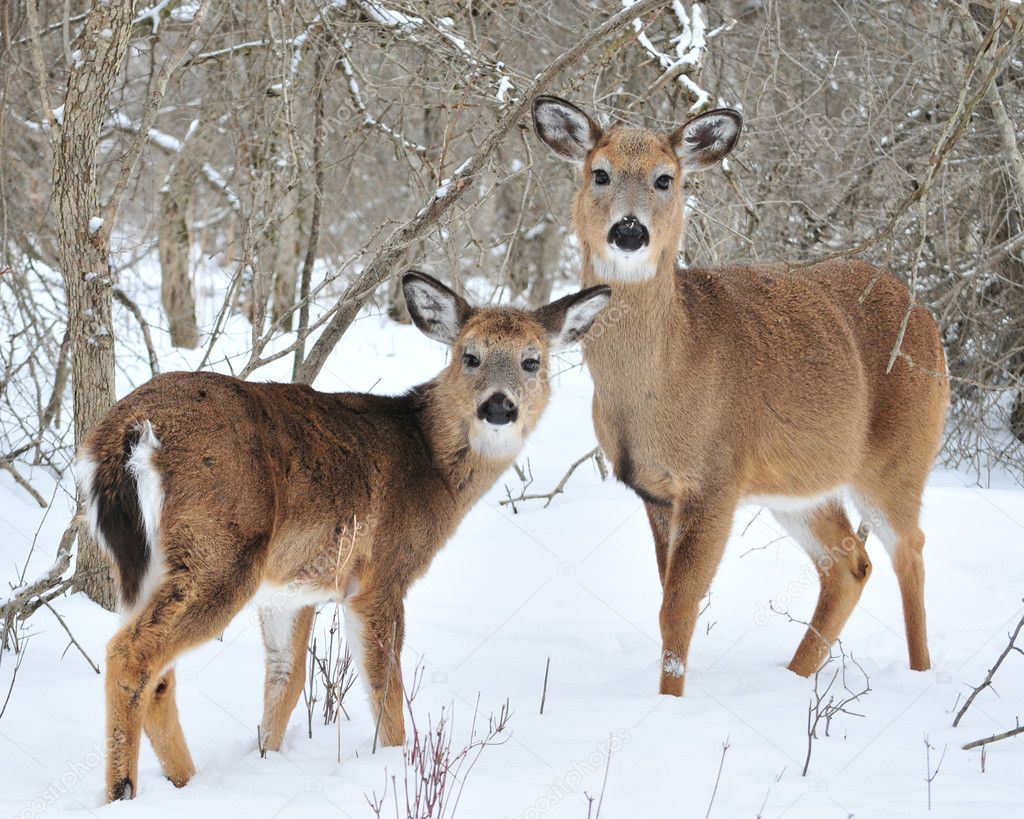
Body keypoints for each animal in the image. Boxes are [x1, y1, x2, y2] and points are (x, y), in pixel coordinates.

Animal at [77, 272, 606, 798]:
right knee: (131, 654)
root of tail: (129, 432)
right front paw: (394, 763)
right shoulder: (381, 575)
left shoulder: (292, 588)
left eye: (532, 360)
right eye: (469, 355)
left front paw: (266, 759)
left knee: (160, 673)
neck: (430, 460)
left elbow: (286, 678)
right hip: (221, 549)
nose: (499, 406)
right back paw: (123, 789)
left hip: (144, 562)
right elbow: (386, 690)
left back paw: (184, 781)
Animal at [536, 97, 950, 696]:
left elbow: (677, 607)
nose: (629, 231)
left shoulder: (715, 478)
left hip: (900, 457)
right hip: (801, 486)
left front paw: (670, 703)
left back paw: (920, 674)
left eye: (665, 179)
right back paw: (796, 678)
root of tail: (926, 317)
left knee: (909, 549)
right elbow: (667, 598)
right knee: (849, 563)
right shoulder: (655, 491)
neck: (662, 380)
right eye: (600, 173)